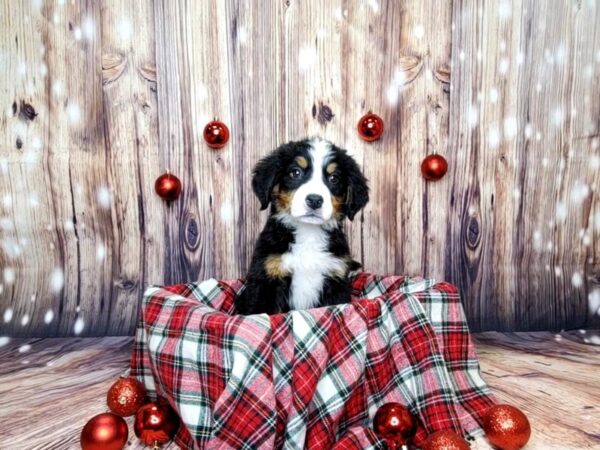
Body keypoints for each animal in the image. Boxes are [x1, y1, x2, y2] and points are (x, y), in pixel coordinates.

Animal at [236, 135, 368, 314]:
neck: (308, 234)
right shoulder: (265, 280)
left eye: (334, 178)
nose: (314, 200)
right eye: (295, 172)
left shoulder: (336, 281)